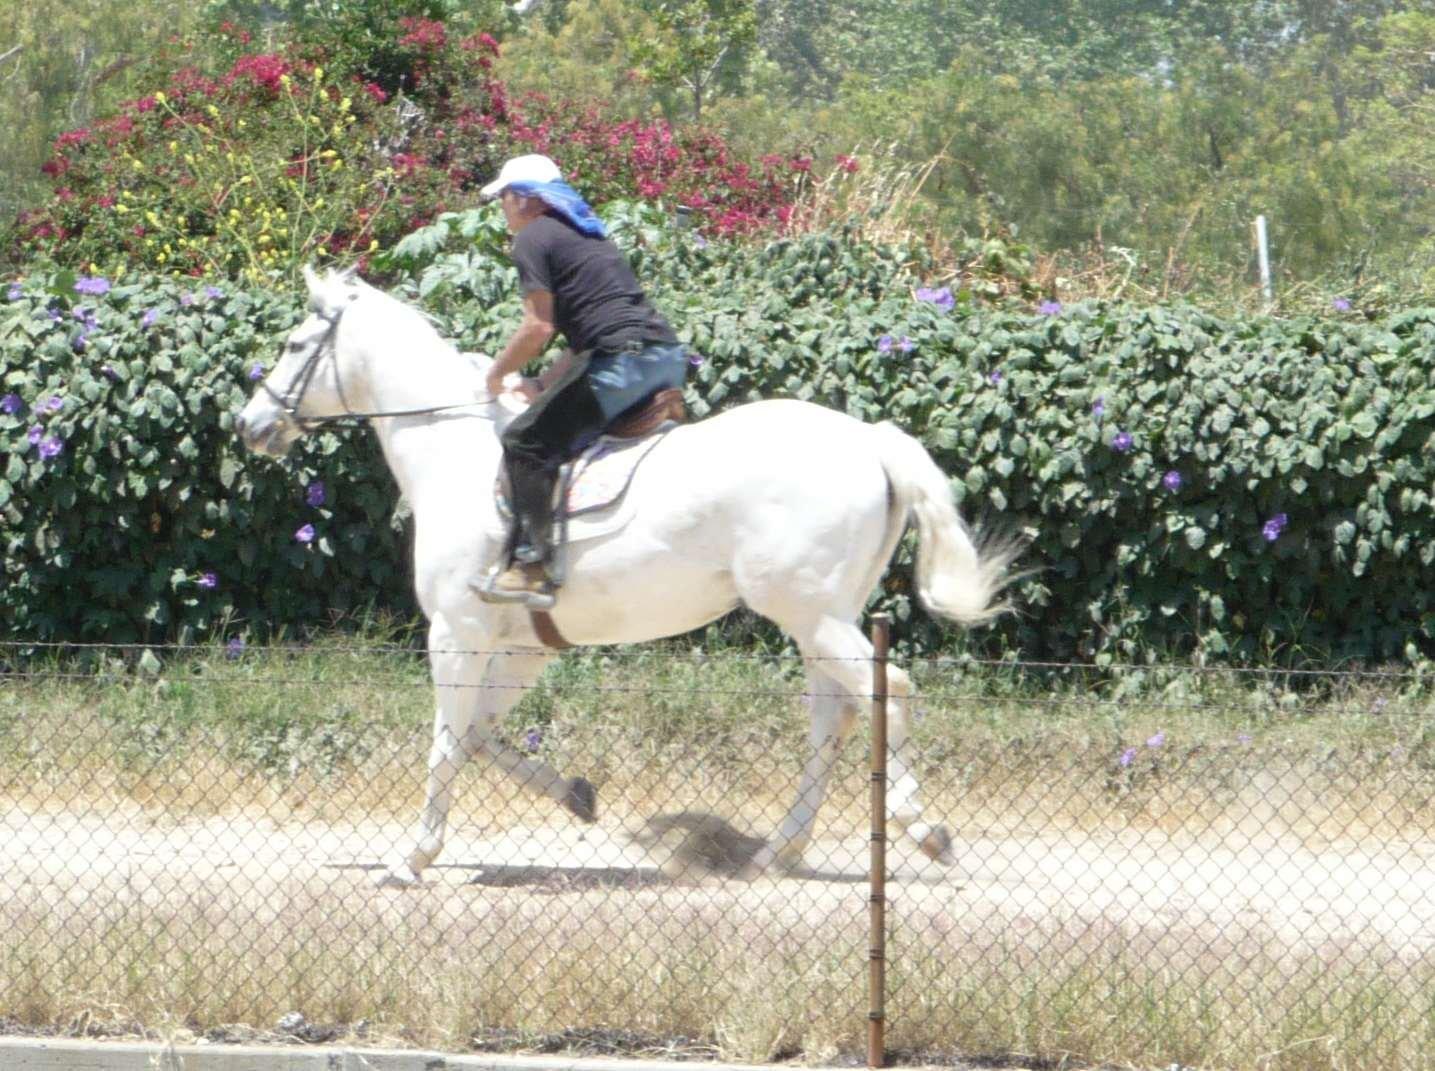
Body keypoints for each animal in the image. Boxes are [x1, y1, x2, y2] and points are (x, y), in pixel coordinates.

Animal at [238, 267, 1021, 884]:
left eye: (295, 346)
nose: (250, 425)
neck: (454, 449)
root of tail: (869, 440)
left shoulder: (456, 634)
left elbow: (445, 742)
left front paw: (412, 859)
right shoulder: (521, 645)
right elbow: (481, 736)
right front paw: (576, 795)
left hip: (812, 615)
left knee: (890, 691)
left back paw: (923, 829)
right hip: (819, 620)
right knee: (836, 716)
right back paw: (777, 851)